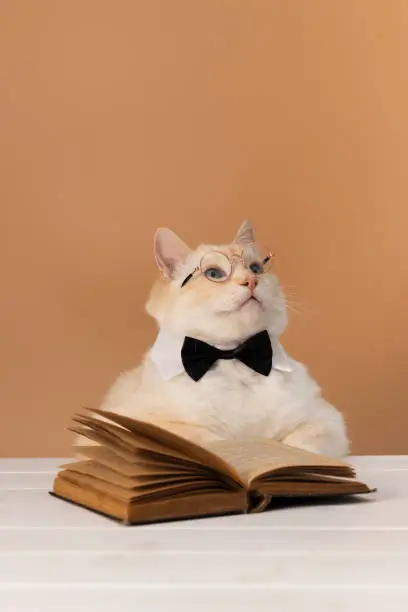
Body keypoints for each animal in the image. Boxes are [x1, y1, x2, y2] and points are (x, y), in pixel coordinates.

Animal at [93, 222, 350, 456]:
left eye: (255, 268)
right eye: (214, 274)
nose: (252, 281)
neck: (232, 356)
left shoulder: (324, 419)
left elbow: (300, 448)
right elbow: (212, 444)